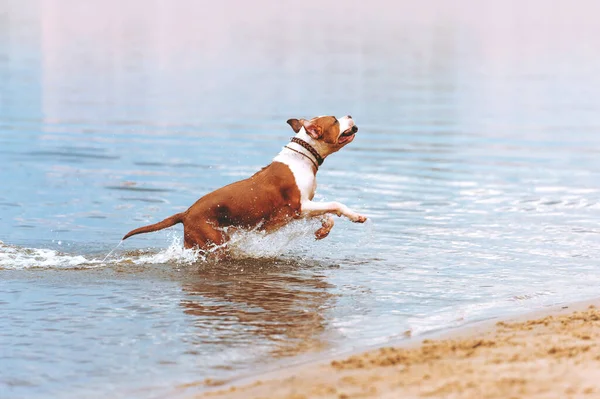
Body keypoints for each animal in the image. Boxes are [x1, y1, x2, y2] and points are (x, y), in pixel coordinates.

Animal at [122, 115, 366, 252]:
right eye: (334, 120)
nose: (349, 115)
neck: (303, 156)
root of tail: (186, 213)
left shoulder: (302, 210)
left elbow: (328, 215)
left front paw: (324, 230)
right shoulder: (299, 206)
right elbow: (335, 204)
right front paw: (356, 216)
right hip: (214, 244)